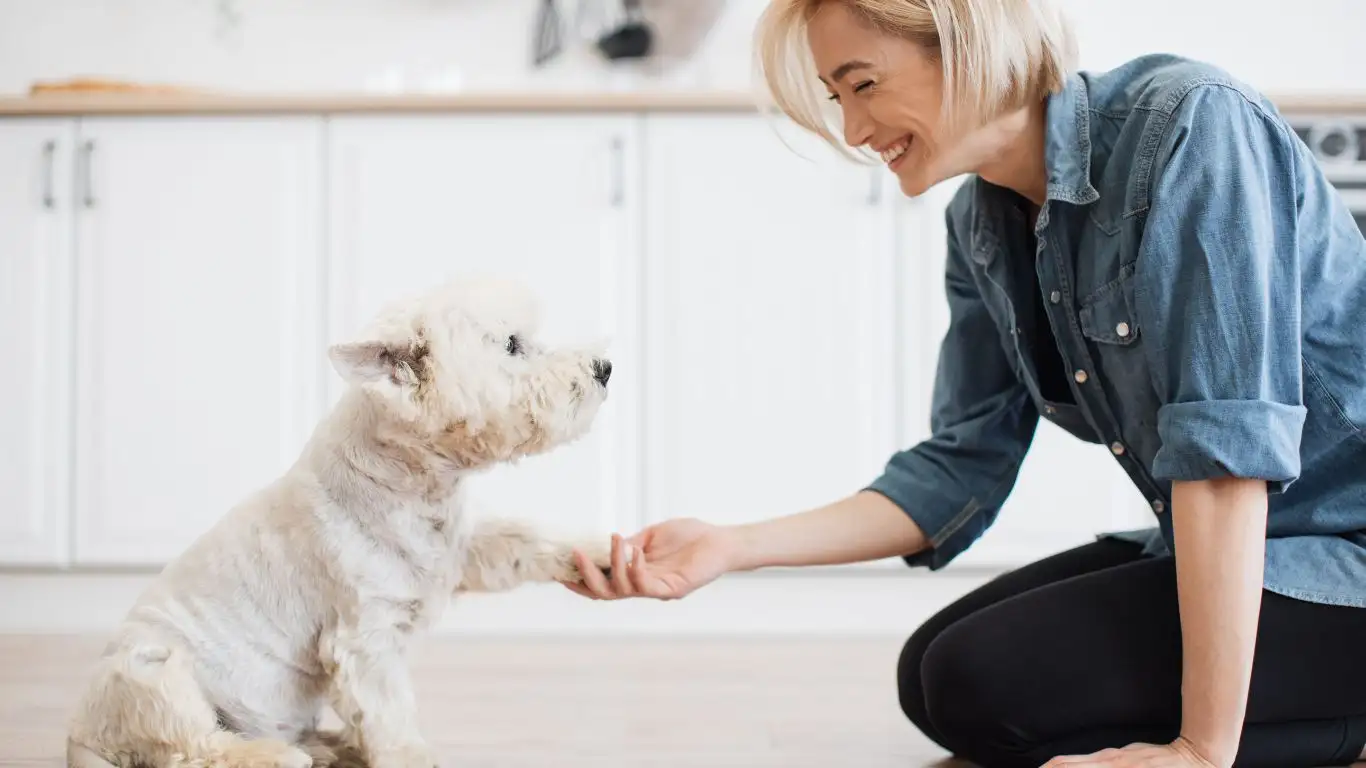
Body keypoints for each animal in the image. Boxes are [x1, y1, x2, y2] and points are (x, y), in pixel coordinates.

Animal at [69, 274, 614, 765]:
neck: (414, 482)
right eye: (512, 345)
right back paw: (278, 755)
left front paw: (602, 555)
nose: (605, 367)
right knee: (195, 747)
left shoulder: (462, 550)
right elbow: (388, 713)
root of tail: (82, 737)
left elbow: (518, 540)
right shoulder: (365, 636)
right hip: (150, 675)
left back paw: (327, 746)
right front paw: (411, 757)